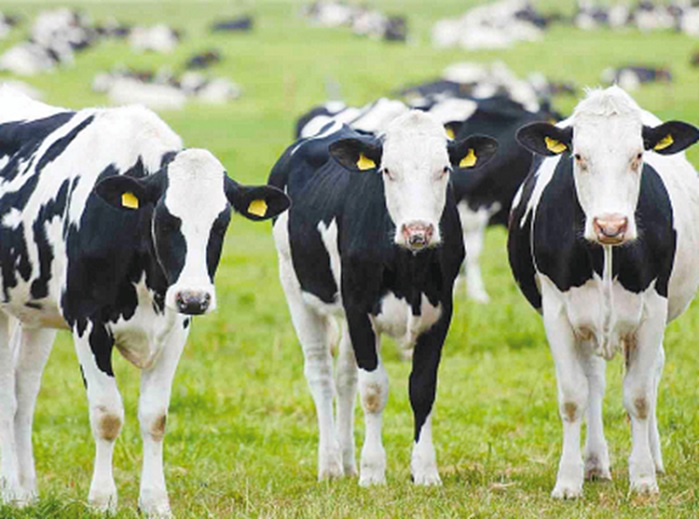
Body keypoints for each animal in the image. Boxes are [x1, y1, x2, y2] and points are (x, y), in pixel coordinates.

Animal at [0, 89, 290, 516]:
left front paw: (155, 501)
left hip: (34, 313)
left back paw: (25, 494)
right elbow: (107, 415)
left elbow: (155, 417)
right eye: (166, 220)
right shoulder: (88, 323)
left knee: (22, 394)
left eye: (221, 223)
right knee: (7, 397)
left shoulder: (176, 326)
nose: (195, 297)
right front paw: (102, 500)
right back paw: (9, 490)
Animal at [270, 111, 500, 486]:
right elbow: (374, 390)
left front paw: (425, 470)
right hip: (295, 286)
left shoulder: (440, 314)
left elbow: (422, 389)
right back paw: (330, 464)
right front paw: (373, 471)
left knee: (345, 378)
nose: (418, 230)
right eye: (388, 170)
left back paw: (347, 462)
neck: (410, 270)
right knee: (321, 374)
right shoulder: (359, 308)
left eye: (444, 169)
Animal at [508, 86, 699, 500]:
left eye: (638, 155)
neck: (607, 253)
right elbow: (572, 397)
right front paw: (568, 480)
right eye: (579, 156)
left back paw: (653, 459)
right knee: (593, 380)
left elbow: (639, 396)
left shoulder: (653, 310)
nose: (611, 225)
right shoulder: (558, 313)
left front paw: (643, 477)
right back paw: (595, 463)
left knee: (650, 373)